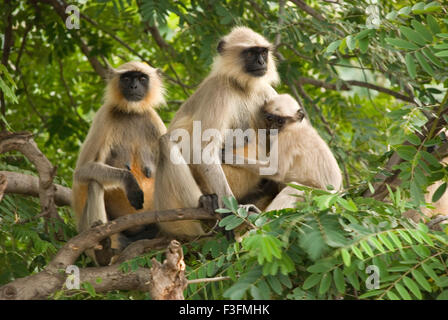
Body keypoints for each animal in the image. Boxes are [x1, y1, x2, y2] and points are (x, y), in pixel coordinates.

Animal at [74, 60, 168, 264]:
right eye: (127, 78)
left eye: (141, 78)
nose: (133, 86)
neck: (131, 112)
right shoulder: (104, 116)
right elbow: (82, 171)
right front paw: (129, 182)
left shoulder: (153, 120)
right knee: (95, 182)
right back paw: (103, 253)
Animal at [155, 27, 280, 238]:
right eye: (250, 54)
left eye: (263, 53)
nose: (261, 63)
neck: (242, 87)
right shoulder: (219, 91)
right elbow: (203, 149)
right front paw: (232, 211)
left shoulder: (267, 92)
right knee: (166, 142)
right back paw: (205, 207)